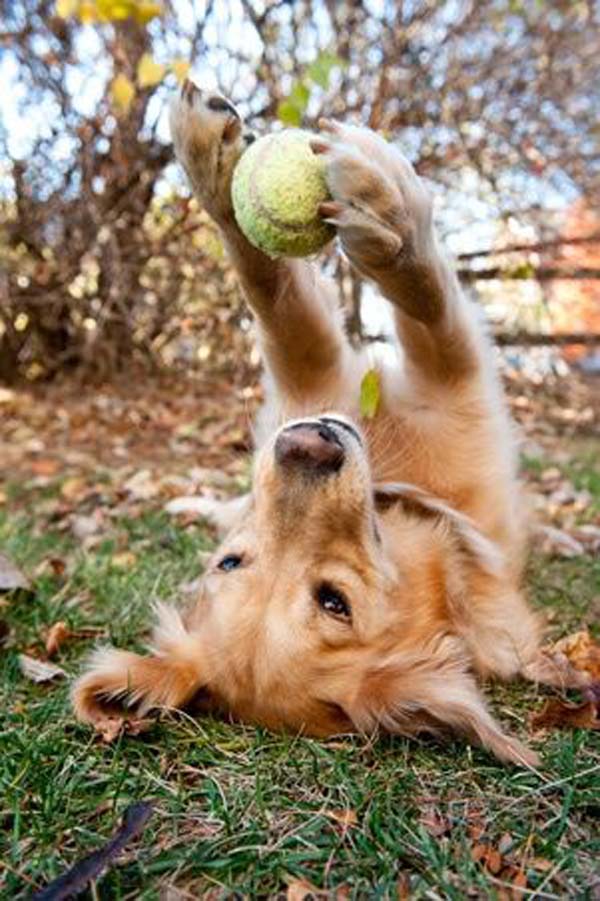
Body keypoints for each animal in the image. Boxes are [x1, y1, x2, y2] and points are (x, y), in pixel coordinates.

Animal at [71, 81, 576, 764]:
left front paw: (217, 164)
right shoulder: (443, 386)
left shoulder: (324, 381)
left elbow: (276, 297)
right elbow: (416, 303)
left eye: (333, 600)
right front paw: (388, 222)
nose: (309, 442)